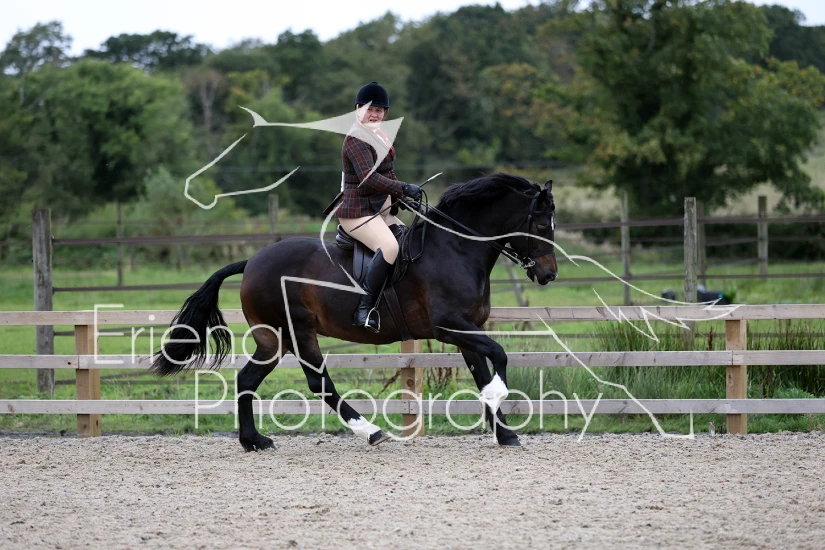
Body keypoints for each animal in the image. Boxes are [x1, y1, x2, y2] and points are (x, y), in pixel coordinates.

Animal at [151, 173, 558, 450]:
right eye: (540, 225)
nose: (548, 274)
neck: (456, 249)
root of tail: (251, 261)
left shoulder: (467, 329)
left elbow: (481, 373)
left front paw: (504, 433)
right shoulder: (450, 326)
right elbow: (499, 355)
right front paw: (501, 399)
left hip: (274, 339)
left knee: (247, 379)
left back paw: (254, 440)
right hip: (298, 331)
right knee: (319, 383)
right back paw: (371, 431)